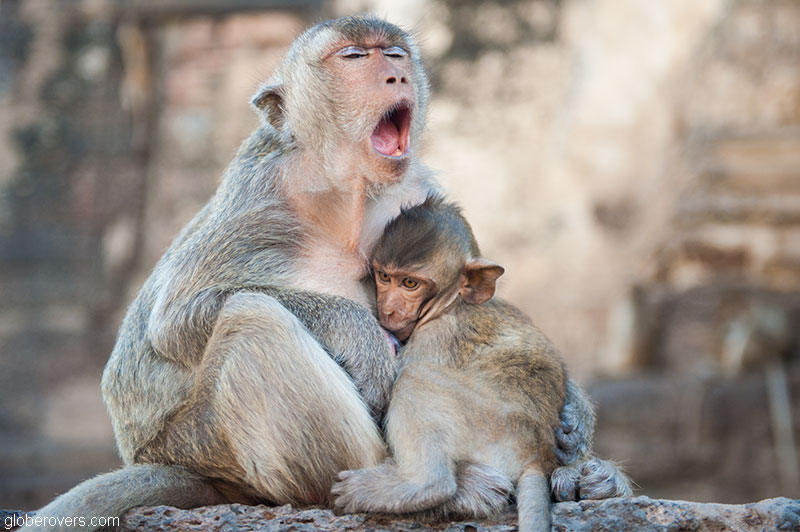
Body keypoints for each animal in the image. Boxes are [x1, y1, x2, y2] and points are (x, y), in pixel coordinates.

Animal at [331, 195, 567, 532]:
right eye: (384, 277)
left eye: (410, 283)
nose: (388, 309)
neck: (451, 305)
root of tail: (539, 453)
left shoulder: (435, 338)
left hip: (489, 423)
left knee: (415, 380)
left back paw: (420, 485)